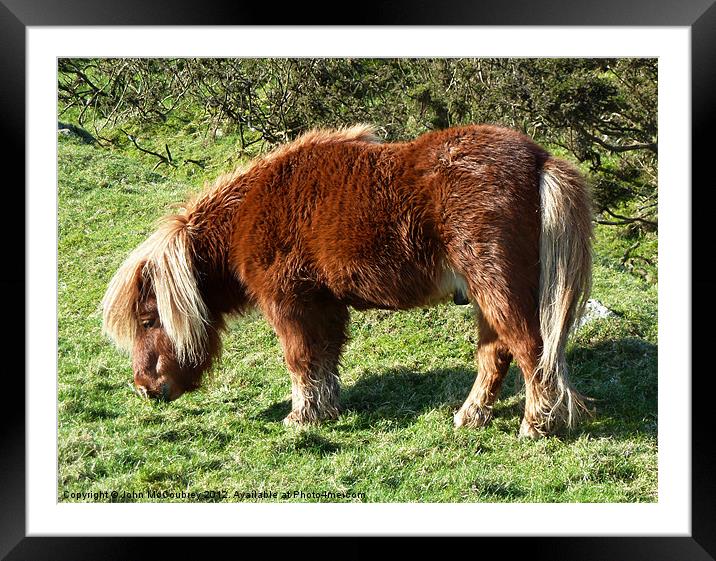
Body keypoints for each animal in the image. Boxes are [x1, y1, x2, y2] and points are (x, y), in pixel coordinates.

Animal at [102, 124, 592, 436]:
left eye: (148, 321)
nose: (146, 389)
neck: (248, 215)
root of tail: (539, 160)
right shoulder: (325, 304)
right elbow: (325, 358)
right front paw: (326, 409)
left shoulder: (289, 304)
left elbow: (300, 359)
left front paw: (300, 417)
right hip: (484, 295)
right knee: (496, 355)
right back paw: (471, 417)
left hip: (496, 288)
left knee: (530, 349)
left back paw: (536, 424)